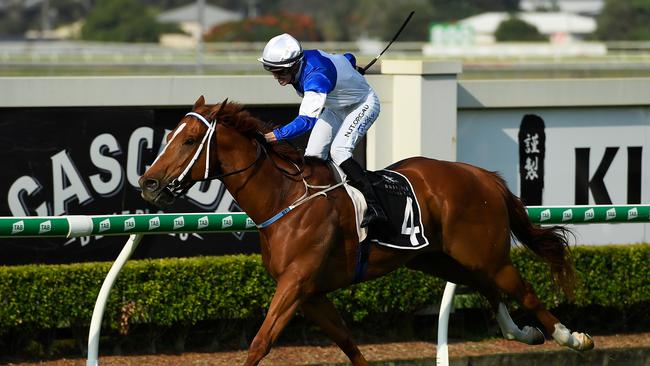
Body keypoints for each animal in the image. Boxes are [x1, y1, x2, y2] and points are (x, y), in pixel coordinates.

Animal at [138, 96, 592, 366]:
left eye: (190, 140)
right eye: (170, 135)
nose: (148, 182)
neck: (284, 197)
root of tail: (484, 176)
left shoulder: (295, 284)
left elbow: (260, 343)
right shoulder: (312, 294)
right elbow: (348, 343)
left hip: (486, 255)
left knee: (524, 291)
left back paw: (572, 337)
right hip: (436, 258)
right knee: (489, 289)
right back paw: (525, 333)